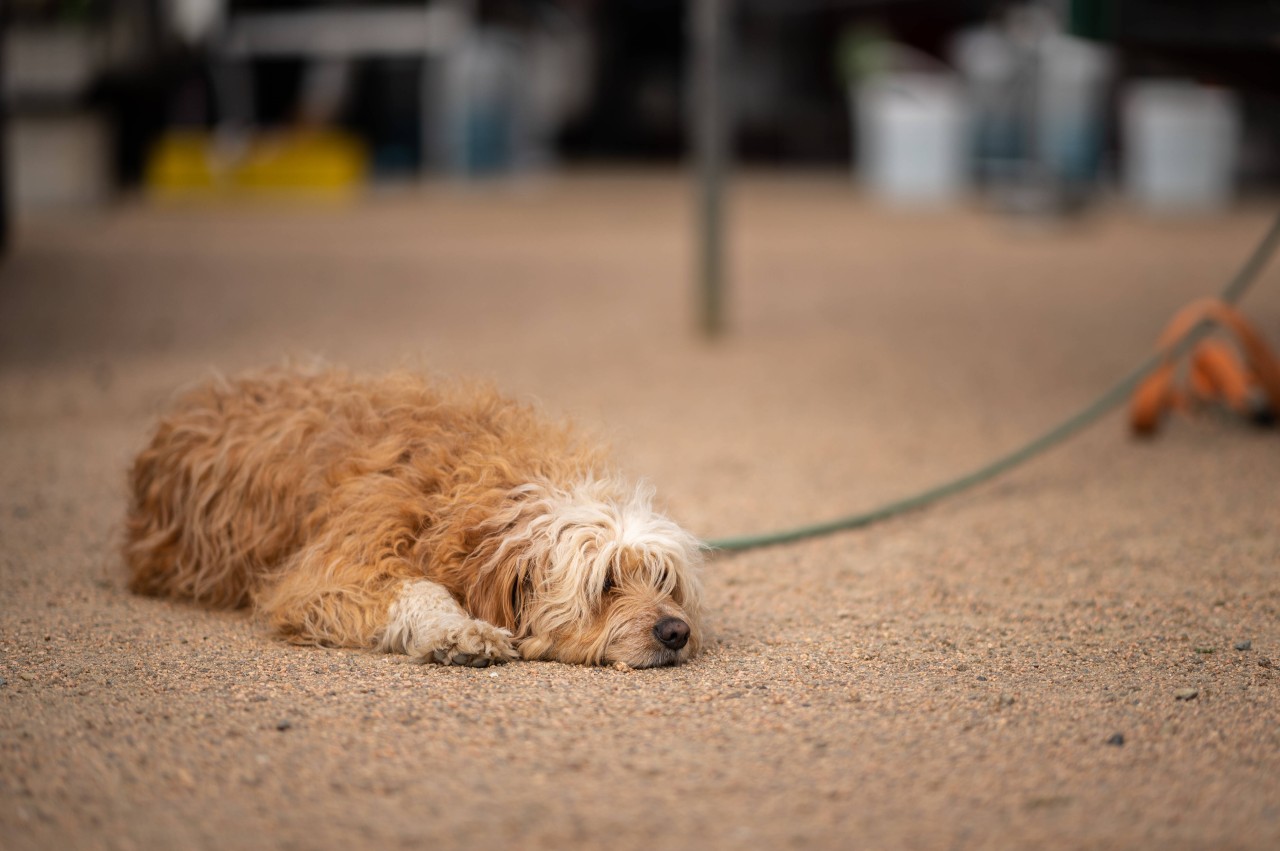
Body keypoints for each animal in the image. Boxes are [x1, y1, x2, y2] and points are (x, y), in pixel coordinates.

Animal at [123, 368, 706, 665]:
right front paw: (462, 633)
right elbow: (415, 590)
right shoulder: (336, 568)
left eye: (664, 580)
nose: (676, 631)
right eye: (606, 582)